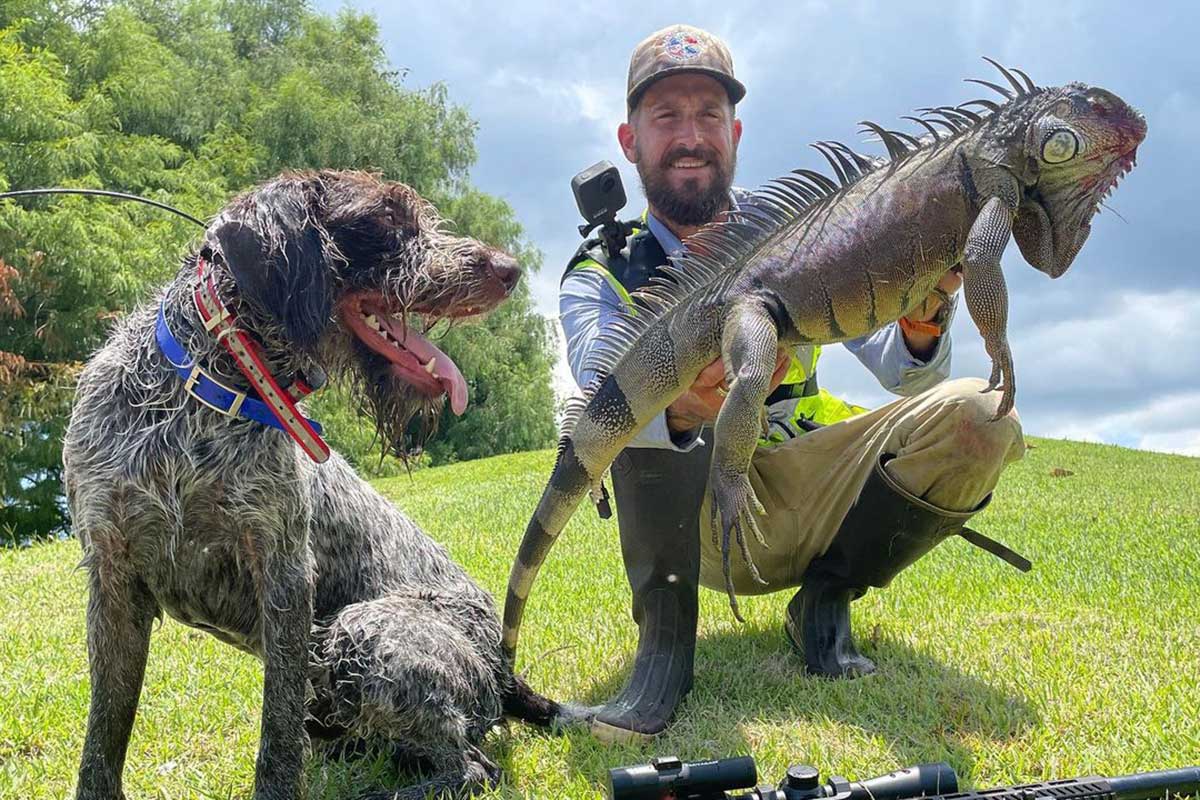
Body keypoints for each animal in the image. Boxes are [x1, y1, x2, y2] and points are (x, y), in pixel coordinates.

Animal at [60, 172, 556, 800]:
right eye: (387, 219)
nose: (509, 268)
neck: (204, 391)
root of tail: (503, 665)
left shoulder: (284, 575)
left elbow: (278, 732)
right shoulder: (113, 574)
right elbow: (103, 735)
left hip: (364, 629)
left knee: (471, 767)